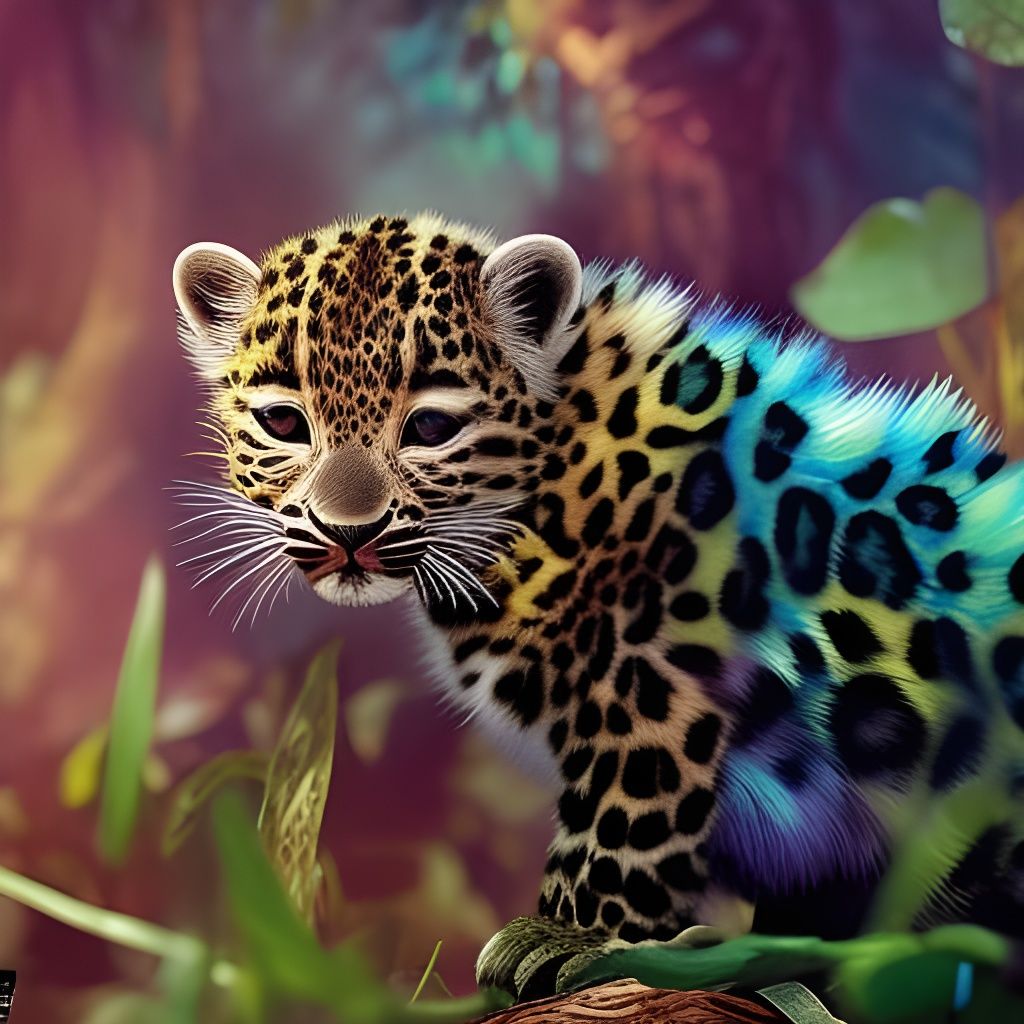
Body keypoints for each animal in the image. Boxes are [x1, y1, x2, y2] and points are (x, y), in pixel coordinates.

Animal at [173, 211, 1024, 1000]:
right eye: (284, 422)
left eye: (431, 426)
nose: (350, 533)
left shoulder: (654, 693)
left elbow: (620, 822)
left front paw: (569, 937)